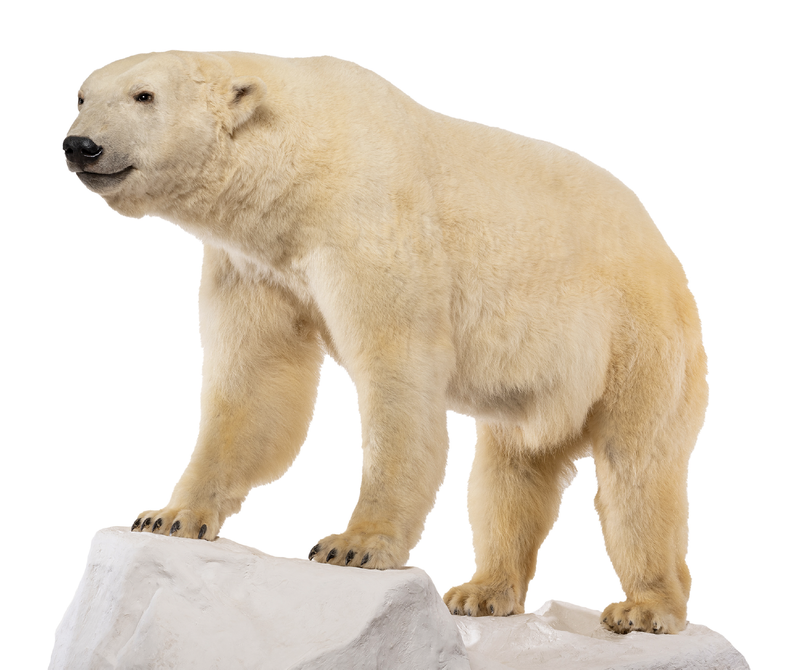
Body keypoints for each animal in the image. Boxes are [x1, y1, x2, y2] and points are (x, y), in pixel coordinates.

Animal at [64, 51, 707, 635]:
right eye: (82, 95)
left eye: (144, 95)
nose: (80, 146)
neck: (301, 165)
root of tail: (668, 253)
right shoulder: (254, 265)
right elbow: (254, 385)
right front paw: (168, 516)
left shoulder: (369, 221)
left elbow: (395, 369)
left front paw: (353, 544)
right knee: (510, 474)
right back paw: (481, 591)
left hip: (637, 339)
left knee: (636, 471)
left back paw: (645, 608)